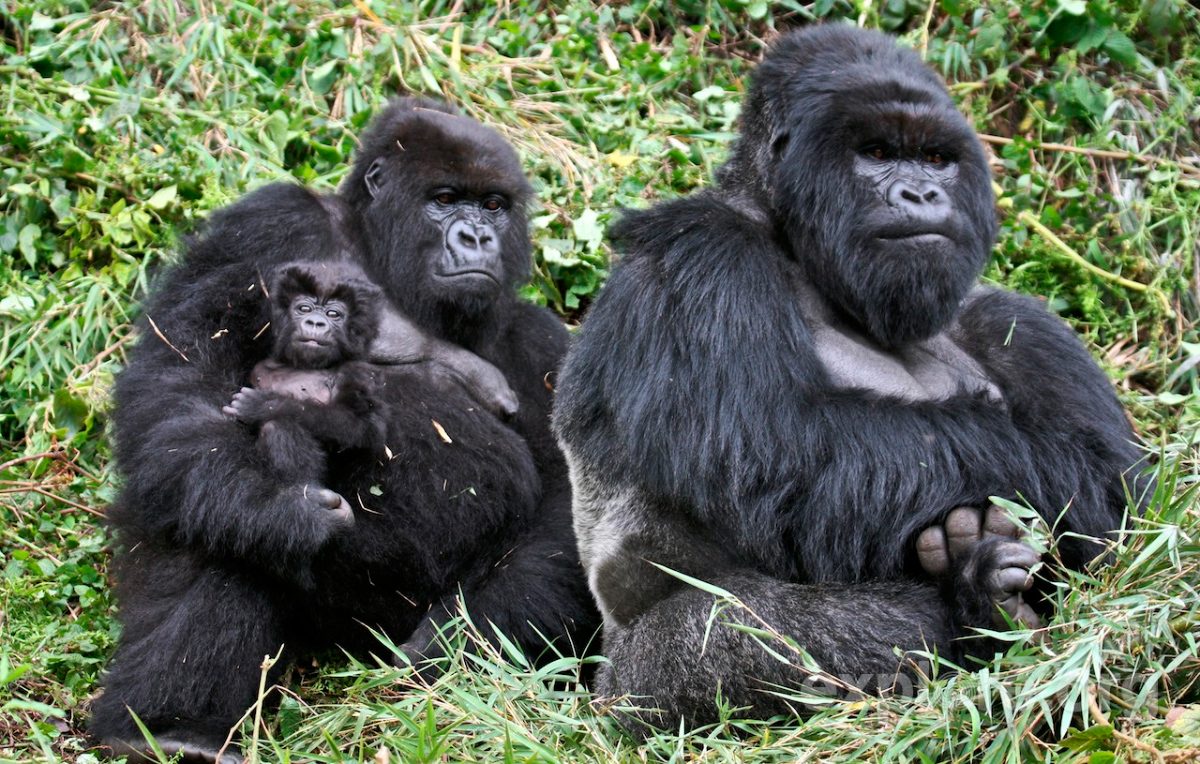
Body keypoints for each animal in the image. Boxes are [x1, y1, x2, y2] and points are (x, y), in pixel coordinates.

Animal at [225, 259, 516, 515]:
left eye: (333, 314)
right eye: (304, 309)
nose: (316, 323)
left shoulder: (355, 371)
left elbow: (361, 426)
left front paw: (262, 405)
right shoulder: (261, 369)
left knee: (280, 425)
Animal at [552, 22, 1142, 729]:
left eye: (936, 159)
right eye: (877, 152)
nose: (922, 195)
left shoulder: (1019, 323)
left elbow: (1130, 496)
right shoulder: (697, 252)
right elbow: (775, 445)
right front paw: (1032, 469)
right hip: (623, 690)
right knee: (739, 637)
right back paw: (974, 601)